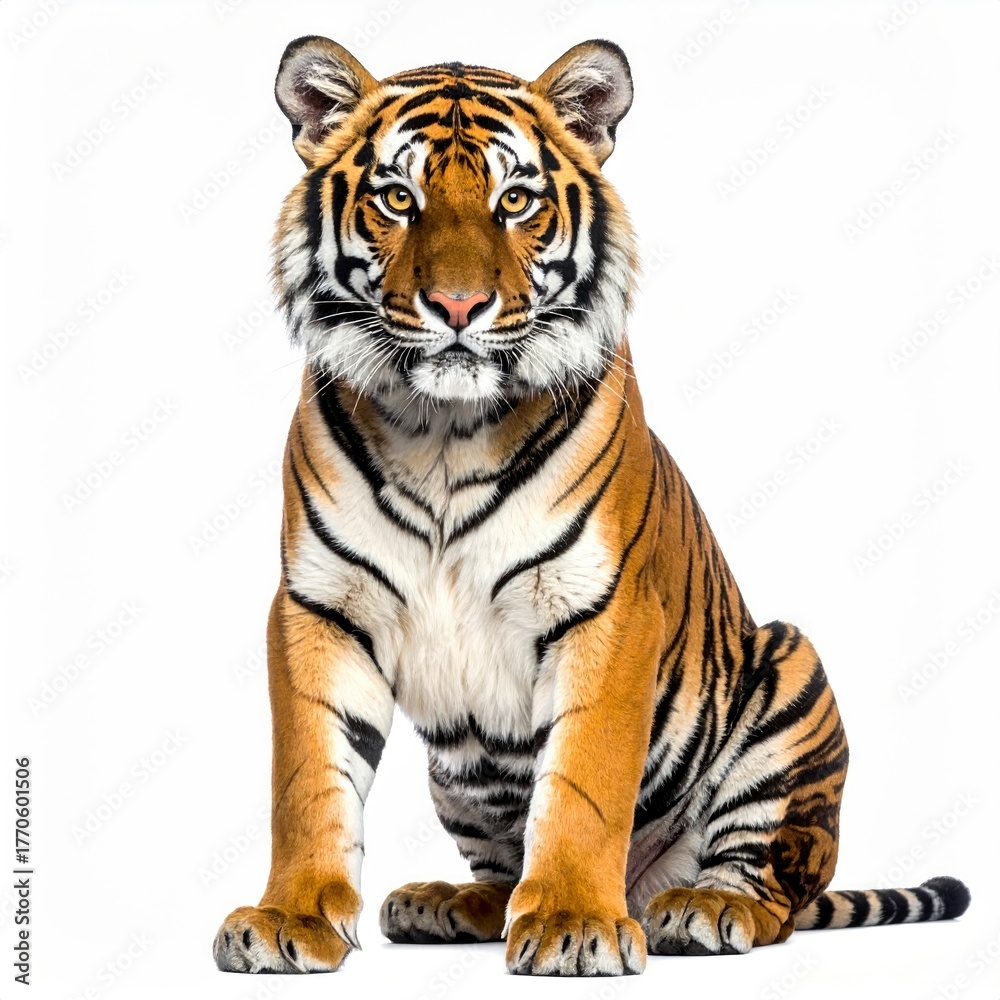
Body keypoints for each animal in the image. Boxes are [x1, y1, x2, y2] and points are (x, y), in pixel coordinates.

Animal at [212, 36, 970, 977]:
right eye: (398, 198)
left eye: (514, 201)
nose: (457, 306)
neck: (444, 430)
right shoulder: (320, 606)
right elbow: (307, 779)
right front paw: (290, 917)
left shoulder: (606, 610)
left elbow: (583, 782)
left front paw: (575, 920)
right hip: (455, 775)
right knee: (500, 871)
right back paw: (446, 903)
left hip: (791, 679)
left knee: (773, 889)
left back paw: (702, 908)